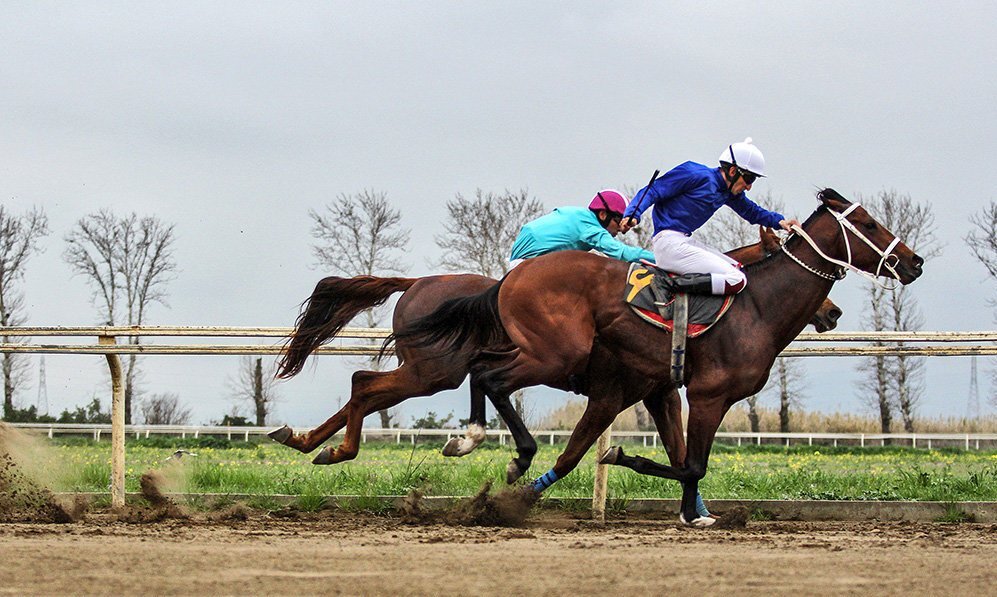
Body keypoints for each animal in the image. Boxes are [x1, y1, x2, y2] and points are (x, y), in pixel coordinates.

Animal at [270, 224, 840, 484]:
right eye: (773, 251)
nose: (832, 312)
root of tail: (416, 284)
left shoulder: (655, 391)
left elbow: (681, 456)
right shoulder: (615, 391)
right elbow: (580, 449)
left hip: (427, 369)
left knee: (365, 389)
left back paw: (307, 441)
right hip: (434, 370)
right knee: (367, 386)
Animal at [392, 189, 924, 524]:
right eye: (868, 223)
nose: (914, 262)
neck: (755, 305)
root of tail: (510, 280)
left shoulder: (661, 392)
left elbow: (679, 456)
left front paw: (697, 513)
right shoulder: (701, 394)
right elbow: (683, 462)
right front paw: (617, 461)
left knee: (481, 370)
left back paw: (472, 440)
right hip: (554, 353)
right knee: (488, 375)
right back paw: (503, 452)